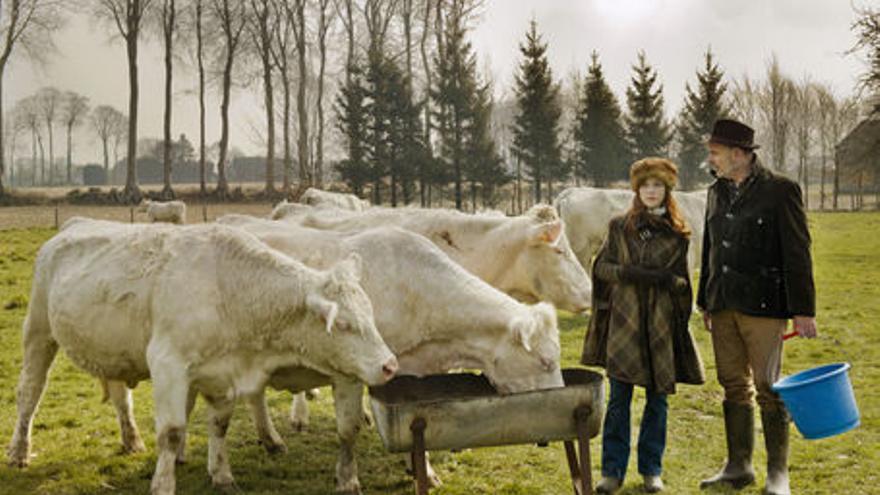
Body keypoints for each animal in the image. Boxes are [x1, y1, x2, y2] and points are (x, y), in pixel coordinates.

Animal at [6, 220, 398, 495]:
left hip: (111, 351)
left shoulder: (223, 374)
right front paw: (163, 483)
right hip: (38, 331)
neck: (229, 291)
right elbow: (172, 432)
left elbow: (219, 425)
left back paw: (132, 440)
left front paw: (221, 474)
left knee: (120, 398)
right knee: (29, 393)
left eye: (370, 313)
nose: (389, 365)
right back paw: (19, 451)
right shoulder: (168, 364)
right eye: (344, 324)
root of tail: (71, 226)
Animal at [217, 214, 568, 492]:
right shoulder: (351, 370)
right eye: (545, 361)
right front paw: (348, 478)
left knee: (255, 395)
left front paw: (422, 470)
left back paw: (271, 440)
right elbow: (348, 429)